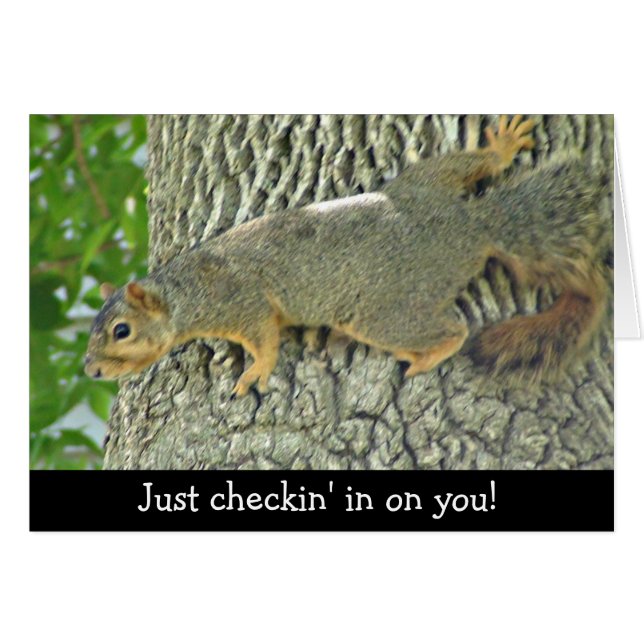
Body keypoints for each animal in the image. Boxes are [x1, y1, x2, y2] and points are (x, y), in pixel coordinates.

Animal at [85, 115, 611, 396]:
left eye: (121, 331)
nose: (91, 371)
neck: (185, 290)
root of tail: (475, 228)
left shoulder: (242, 301)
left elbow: (265, 339)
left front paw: (255, 372)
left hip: (384, 309)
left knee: (455, 330)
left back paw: (425, 357)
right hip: (424, 183)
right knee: (468, 167)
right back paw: (501, 147)